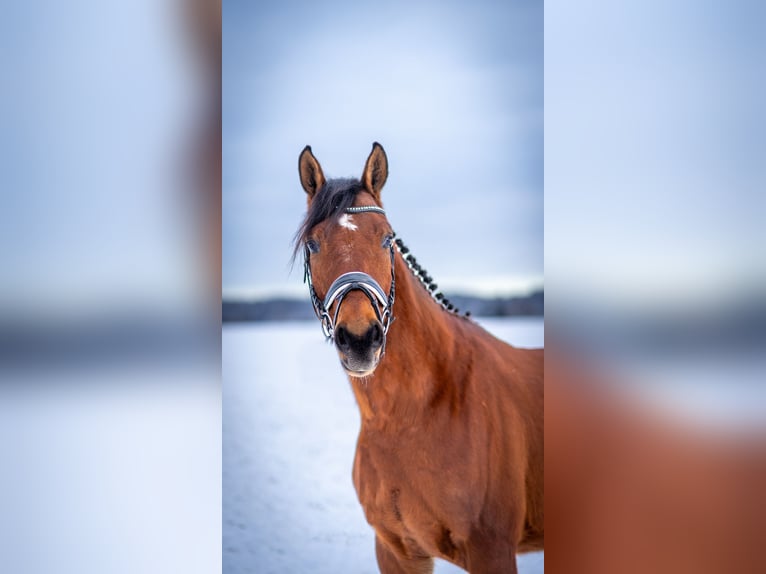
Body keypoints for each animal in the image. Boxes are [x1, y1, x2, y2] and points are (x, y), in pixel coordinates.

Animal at [296, 142, 544, 572]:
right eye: (313, 244)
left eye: (386, 239)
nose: (360, 339)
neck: (410, 417)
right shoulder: (396, 550)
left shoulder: (492, 550)